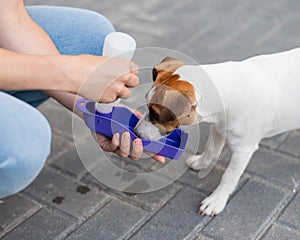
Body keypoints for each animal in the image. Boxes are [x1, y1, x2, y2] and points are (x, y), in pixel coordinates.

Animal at [136, 48, 300, 216]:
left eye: (156, 115)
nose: (136, 133)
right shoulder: (218, 128)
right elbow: (212, 150)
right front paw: (201, 163)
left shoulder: (243, 149)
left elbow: (229, 176)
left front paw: (216, 200)